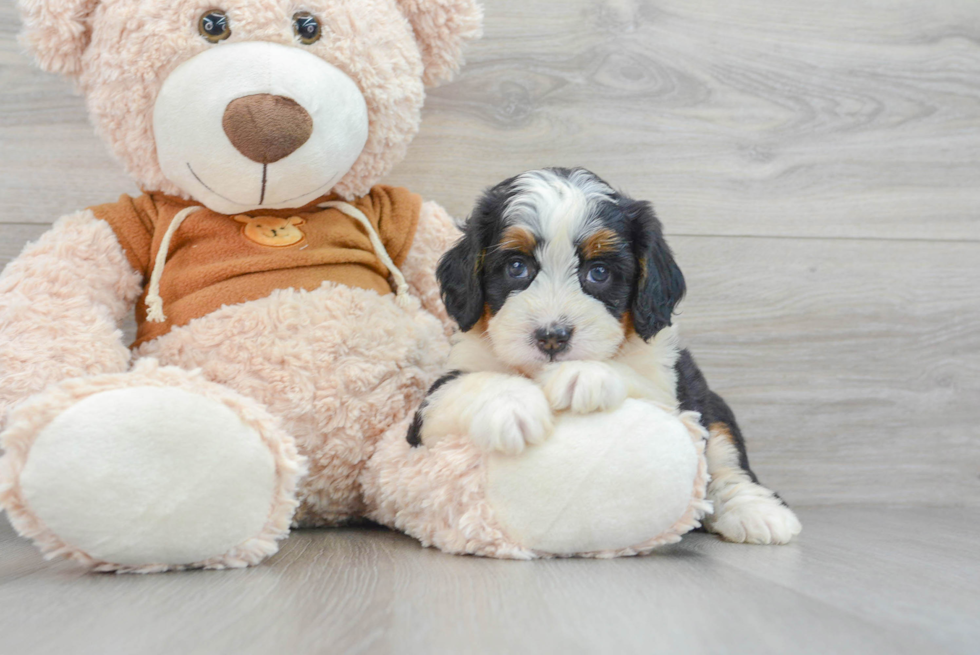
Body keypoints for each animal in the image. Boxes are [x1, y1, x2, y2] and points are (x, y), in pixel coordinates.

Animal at [410, 168, 800, 544]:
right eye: (516, 267)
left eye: (598, 272)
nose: (552, 337)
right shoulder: (430, 409)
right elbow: (471, 384)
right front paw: (511, 407)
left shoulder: (667, 390)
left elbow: (633, 380)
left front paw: (582, 374)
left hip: (712, 406)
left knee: (727, 459)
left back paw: (757, 513)